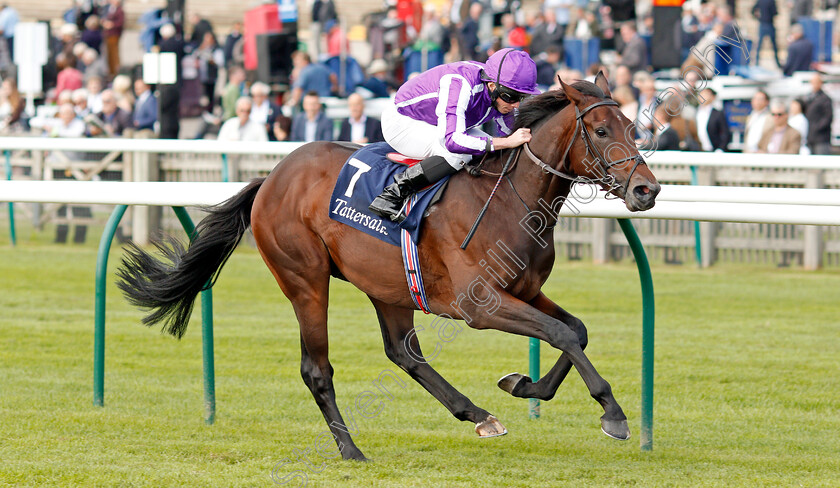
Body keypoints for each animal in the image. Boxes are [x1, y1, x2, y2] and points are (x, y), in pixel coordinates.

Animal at [115, 73, 660, 462]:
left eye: (634, 130)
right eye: (600, 130)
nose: (646, 190)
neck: (510, 198)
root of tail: (271, 177)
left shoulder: (523, 290)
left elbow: (575, 330)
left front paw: (525, 386)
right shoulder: (481, 305)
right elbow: (561, 333)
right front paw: (613, 414)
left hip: (389, 285)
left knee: (403, 353)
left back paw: (478, 415)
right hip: (305, 280)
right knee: (317, 368)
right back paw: (350, 449)